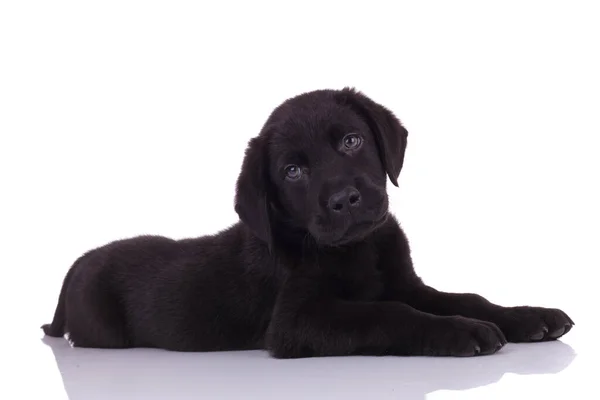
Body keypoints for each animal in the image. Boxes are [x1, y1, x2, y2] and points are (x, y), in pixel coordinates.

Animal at [42, 86, 572, 356]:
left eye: (352, 141)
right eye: (292, 171)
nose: (344, 199)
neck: (359, 250)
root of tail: (76, 266)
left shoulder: (406, 283)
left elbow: (465, 297)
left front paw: (530, 317)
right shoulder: (297, 322)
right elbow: (387, 314)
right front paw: (462, 332)